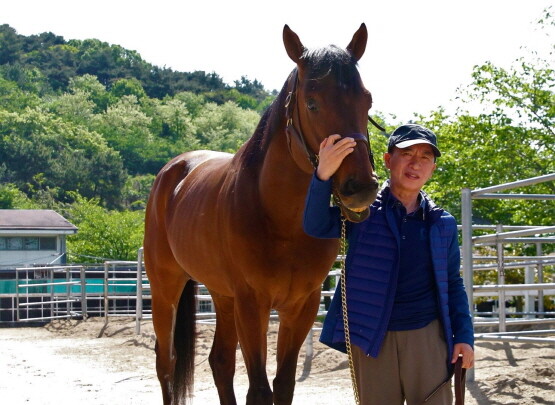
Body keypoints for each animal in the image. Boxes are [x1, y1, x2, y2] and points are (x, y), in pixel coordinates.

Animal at [143, 23, 380, 402]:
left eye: (366, 99)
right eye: (312, 103)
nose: (360, 188)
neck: (283, 219)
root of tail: (174, 170)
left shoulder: (300, 306)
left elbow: (282, 385)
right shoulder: (252, 305)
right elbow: (258, 389)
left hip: (223, 296)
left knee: (220, 362)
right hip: (166, 289)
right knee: (166, 363)